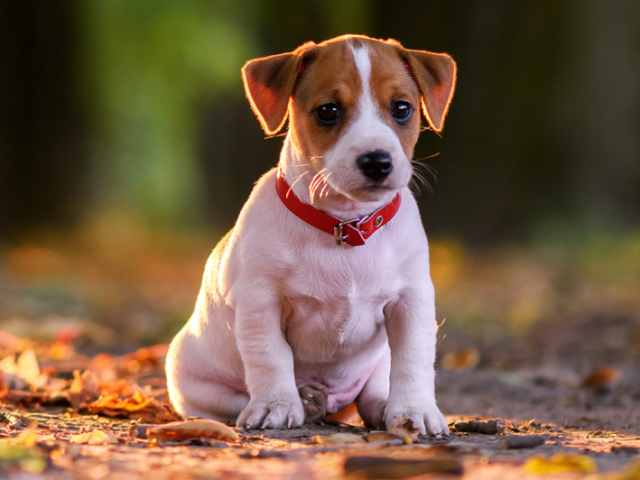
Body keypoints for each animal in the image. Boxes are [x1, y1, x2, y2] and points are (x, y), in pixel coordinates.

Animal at [165, 32, 456, 432]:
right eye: (328, 111)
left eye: (401, 108)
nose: (377, 161)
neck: (345, 226)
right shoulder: (261, 302)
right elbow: (271, 357)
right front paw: (277, 404)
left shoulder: (411, 301)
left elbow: (413, 360)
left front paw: (415, 409)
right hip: (190, 378)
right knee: (232, 400)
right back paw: (304, 400)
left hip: (377, 362)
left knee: (373, 391)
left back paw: (378, 406)